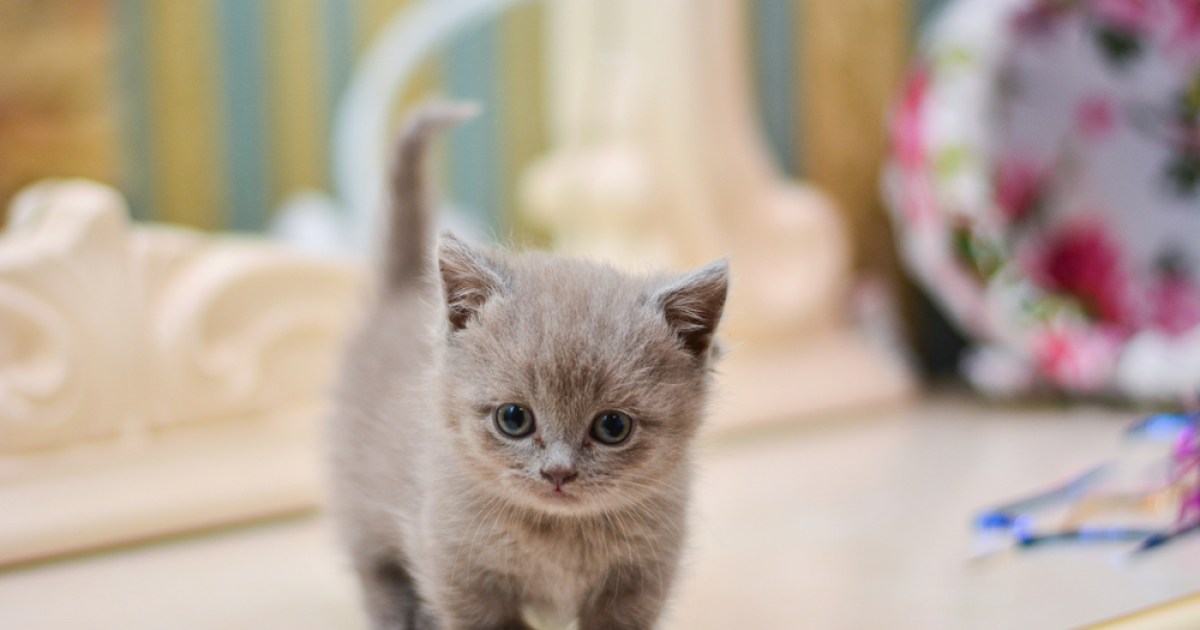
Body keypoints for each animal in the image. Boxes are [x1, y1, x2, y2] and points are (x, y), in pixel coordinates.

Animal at [324, 104, 724, 628]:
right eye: (514, 419)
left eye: (613, 427)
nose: (558, 473)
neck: (557, 535)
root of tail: (402, 291)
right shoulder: (459, 573)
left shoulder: (639, 582)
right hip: (358, 492)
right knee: (371, 560)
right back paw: (397, 611)